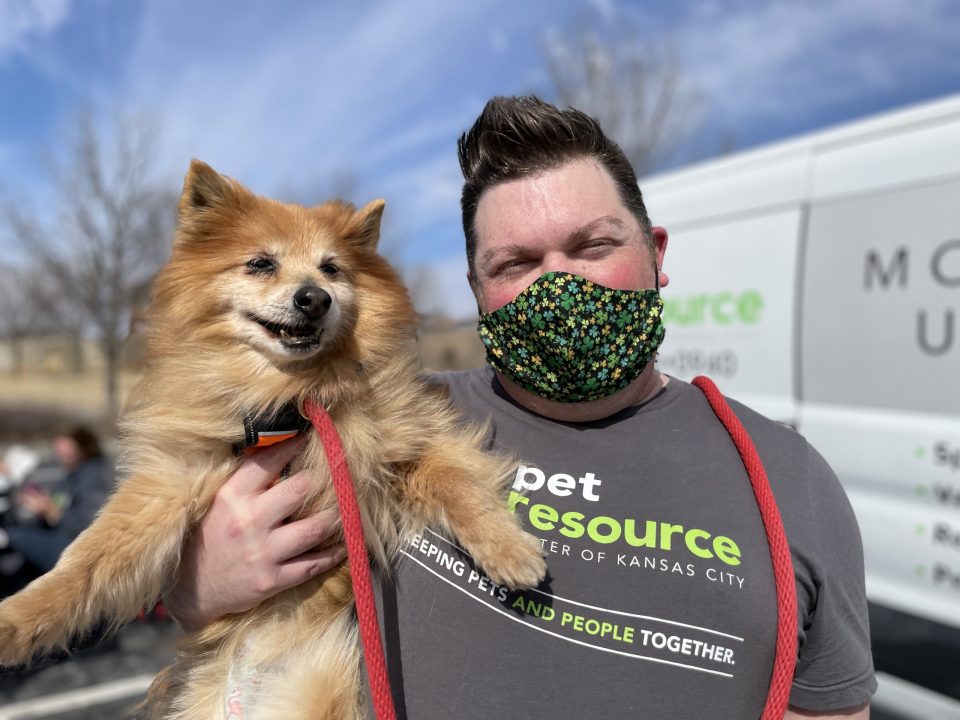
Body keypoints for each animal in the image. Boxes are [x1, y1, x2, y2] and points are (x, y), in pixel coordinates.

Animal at [0, 160, 544, 716]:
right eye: (261, 264)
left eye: (331, 270)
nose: (315, 298)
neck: (291, 402)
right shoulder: (173, 481)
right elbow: (87, 559)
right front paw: (17, 621)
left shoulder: (403, 445)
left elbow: (458, 485)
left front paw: (508, 550)